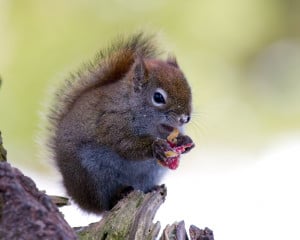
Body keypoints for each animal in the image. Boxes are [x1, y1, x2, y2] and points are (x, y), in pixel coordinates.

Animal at [47, 32, 195, 214]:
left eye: (190, 90)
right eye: (158, 97)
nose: (185, 118)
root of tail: (75, 195)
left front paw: (185, 141)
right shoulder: (111, 122)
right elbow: (126, 146)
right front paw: (156, 146)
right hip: (93, 177)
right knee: (103, 205)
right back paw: (118, 195)